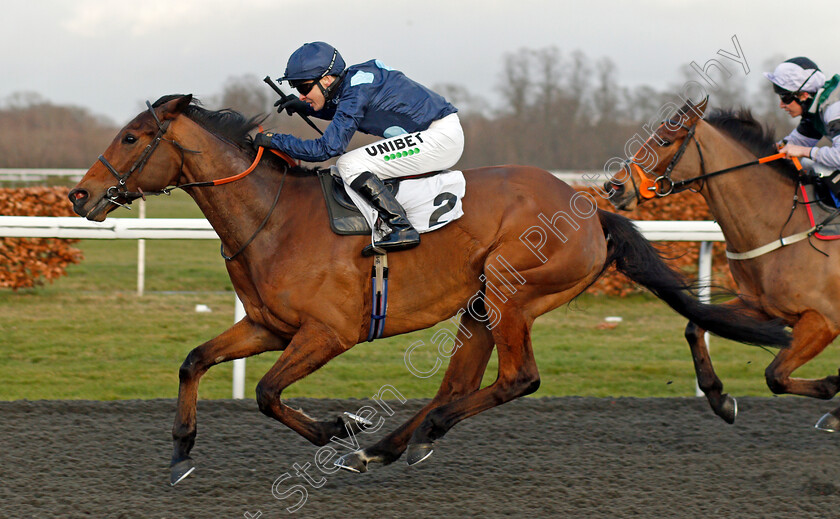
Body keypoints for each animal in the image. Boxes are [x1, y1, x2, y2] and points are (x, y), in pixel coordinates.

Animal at [69, 94, 792, 488]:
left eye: (132, 137)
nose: (79, 194)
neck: (272, 217)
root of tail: (590, 208)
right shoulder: (268, 326)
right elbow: (194, 360)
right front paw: (180, 454)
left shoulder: (327, 333)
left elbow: (270, 394)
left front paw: (340, 427)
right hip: (480, 304)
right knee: (459, 383)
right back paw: (398, 442)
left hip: (511, 293)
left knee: (516, 378)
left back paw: (397, 440)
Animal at [608, 97, 840, 430]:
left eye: (664, 140)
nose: (614, 187)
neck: (785, 228)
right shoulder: (759, 305)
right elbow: (695, 327)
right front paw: (720, 400)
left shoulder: (823, 321)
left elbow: (775, 376)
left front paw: (833, 394)